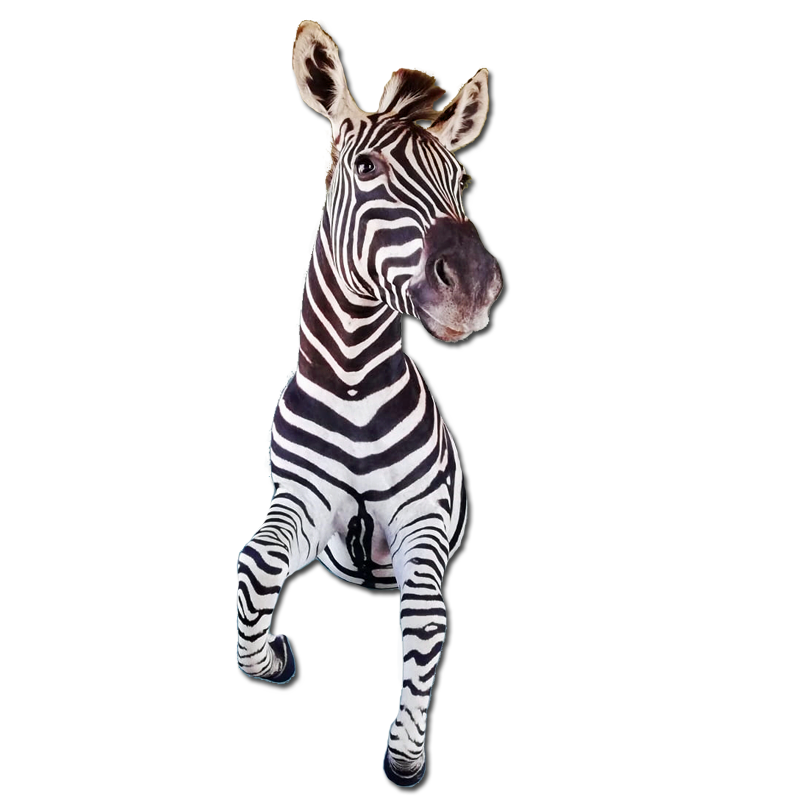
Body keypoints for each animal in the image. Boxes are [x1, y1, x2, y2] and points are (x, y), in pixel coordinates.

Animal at [236, 20, 502, 787]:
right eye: (368, 169)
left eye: (467, 181)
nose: (476, 287)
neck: (354, 386)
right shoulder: (303, 505)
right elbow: (254, 572)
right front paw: (273, 660)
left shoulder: (422, 523)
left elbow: (429, 625)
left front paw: (407, 755)